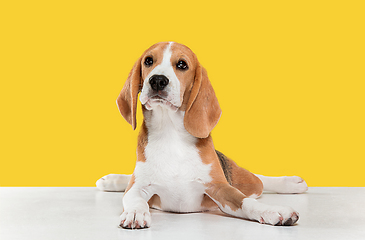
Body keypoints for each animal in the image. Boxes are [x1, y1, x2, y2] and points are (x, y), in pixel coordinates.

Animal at [96, 41, 308, 229]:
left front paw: (272, 211)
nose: (157, 80)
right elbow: (134, 199)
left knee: (260, 180)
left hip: (247, 181)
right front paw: (135, 213)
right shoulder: (137, 187)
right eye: (148, 61)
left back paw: (291, 183)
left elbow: (247, 202)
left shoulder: (219, 187)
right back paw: (112, 180)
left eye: (182, 65)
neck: (170, 133)